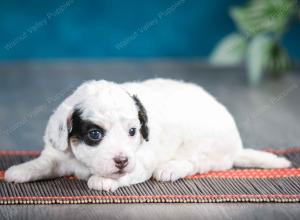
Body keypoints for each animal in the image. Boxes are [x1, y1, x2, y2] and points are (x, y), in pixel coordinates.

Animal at [4, 78, 290, 191]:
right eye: (94, 134)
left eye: (133, 131)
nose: (121, 161)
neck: (82, 162)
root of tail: (236, 146)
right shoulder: (58, 152)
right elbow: (44, 162)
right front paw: (21, 170)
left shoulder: (140, 162)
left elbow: (123, 174)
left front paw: (103, 180)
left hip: (205, 147)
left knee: (197, 162)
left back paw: (171, 168)